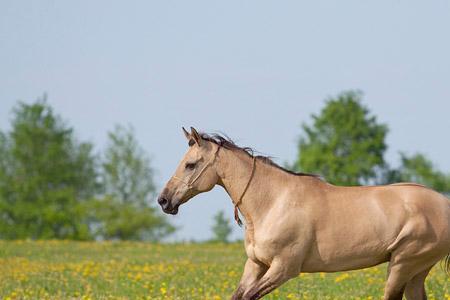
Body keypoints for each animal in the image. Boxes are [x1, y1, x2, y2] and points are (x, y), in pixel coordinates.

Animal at [158, 127, 450, 300]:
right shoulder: (256, 264)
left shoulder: (284, 268)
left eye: (190, 164)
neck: (273, 203)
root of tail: (444, 204)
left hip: (403, 263)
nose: (164, 200)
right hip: (415, 270)